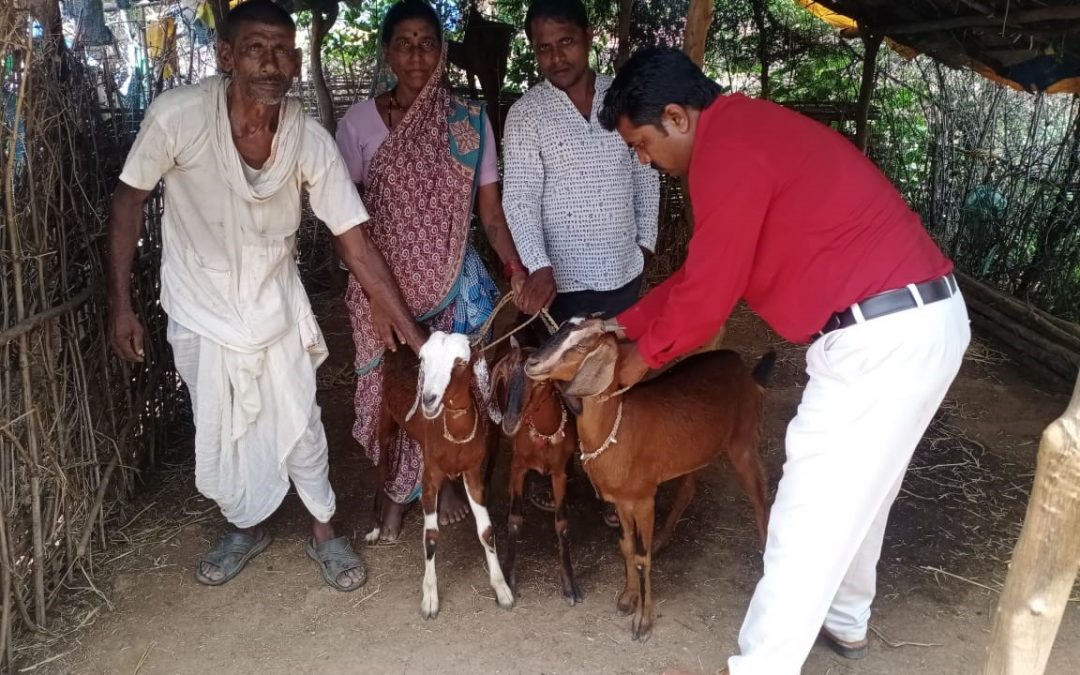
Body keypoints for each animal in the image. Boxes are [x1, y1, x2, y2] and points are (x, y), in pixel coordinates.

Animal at [375, 328, 514, 617]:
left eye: (460, 363)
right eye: (424, 359)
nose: (428, 399)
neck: (454, 437)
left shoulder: (473, 475)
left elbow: (486, 531)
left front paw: (501, 588)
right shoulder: (430, 479)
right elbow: (430, 537)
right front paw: (430, 598)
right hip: (386, 420)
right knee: (381, 465)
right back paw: (375, 528)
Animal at [494, 341, 583, 604]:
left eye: (541, 383)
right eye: (505, 375)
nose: (510, 421)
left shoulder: (558, 473)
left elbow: (562, 524)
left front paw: (570, 584)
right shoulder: (518, 466)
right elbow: (514, 519)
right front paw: (508, 577)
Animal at [520, 317, 768, 639]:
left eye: (582, 346)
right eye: (557, 329)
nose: (532, 362)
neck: (615, 426)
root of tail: (740, 364)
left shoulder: (644, 500)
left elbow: (641, 557)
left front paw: (643, 621)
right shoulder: (621, 501)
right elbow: (626, 547)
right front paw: (628, 597)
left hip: (743, 442)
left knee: (760, 497)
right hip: (695, 452)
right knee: (688, 490)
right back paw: (662, 540)